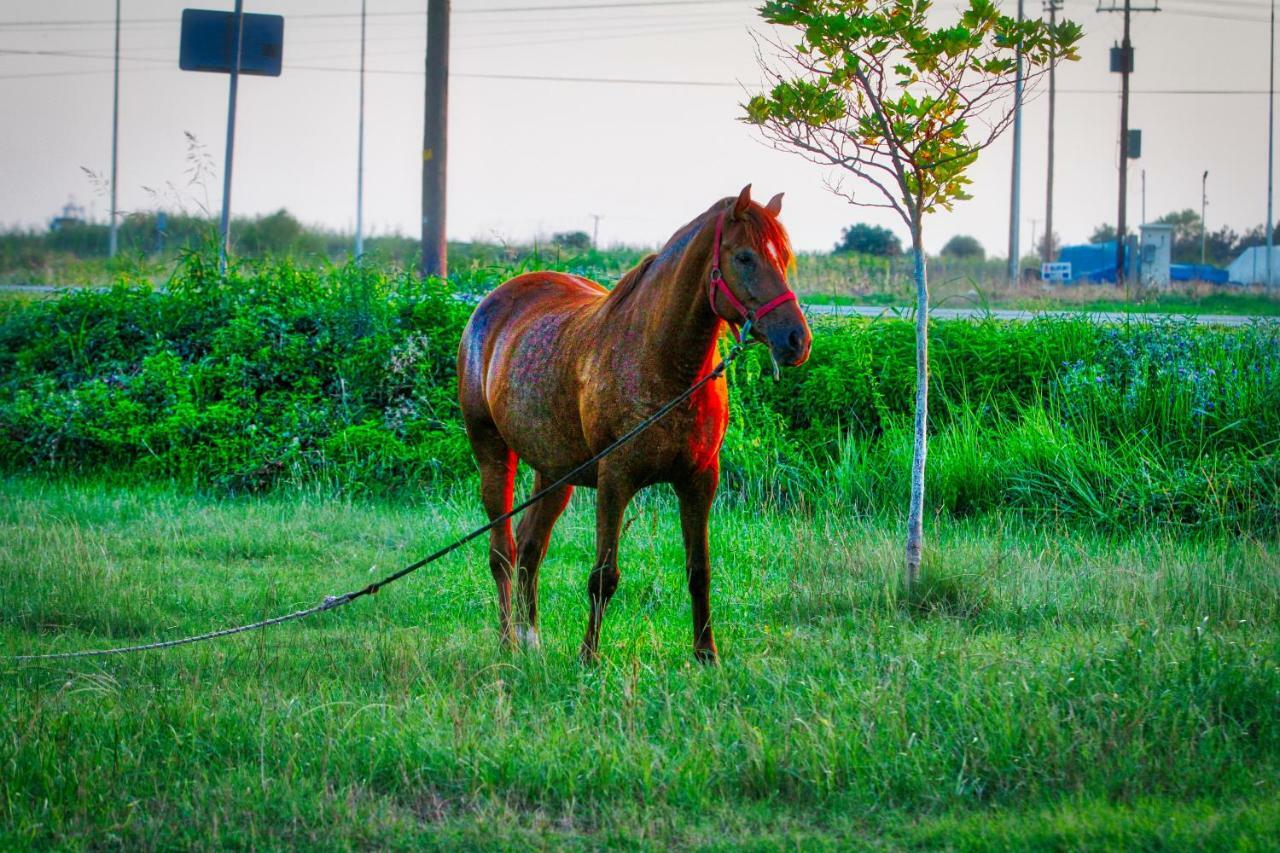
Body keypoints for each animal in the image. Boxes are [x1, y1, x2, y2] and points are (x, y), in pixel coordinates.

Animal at [455, 185, 808, 660]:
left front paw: (706, 655)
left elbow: (700, 571)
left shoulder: (699, 481)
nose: (796, 339)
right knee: (503, 553)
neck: (661, 361)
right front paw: (588, 657)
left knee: (531, 546)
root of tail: (491, 305)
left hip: (555, 471)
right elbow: (603, 576)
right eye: (746, 257)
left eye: (784, 257)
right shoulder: (615, 479)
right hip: (493, 454)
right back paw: (509, 642)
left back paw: (531, 640)